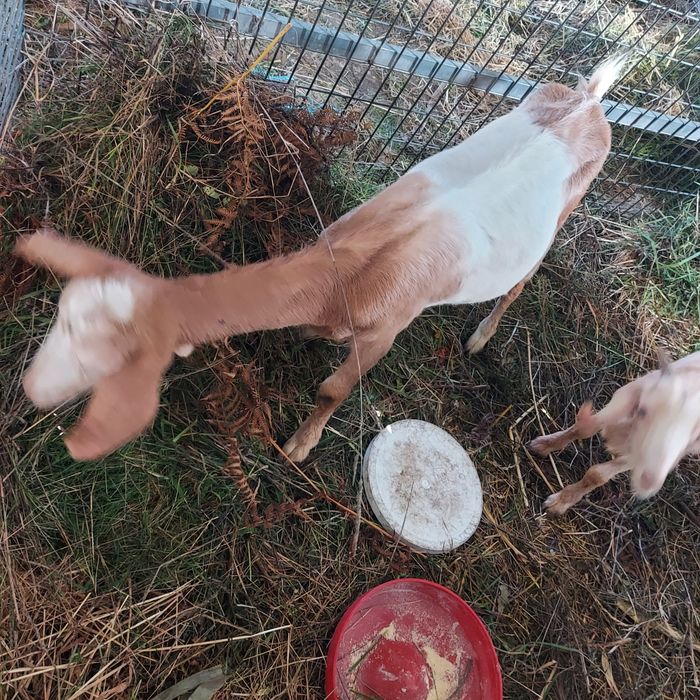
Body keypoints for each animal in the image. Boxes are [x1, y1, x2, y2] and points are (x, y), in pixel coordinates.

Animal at [16, 56, 627, 462]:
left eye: (106, 359)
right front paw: (312, 336)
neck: (352, 269)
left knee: (520, 283)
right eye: (60, 319)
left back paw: (479, 337)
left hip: (563, 215)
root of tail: (591, 100)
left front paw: (298, 447)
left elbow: (334, 388)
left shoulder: (389, 326)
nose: (31, 390)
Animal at [528, 351, 700, 514]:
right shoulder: (625, 397)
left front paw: (562, 502)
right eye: (643, 411)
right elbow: (584, 429)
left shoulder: (639, 457)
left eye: (692, 439)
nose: (648, 482)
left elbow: (597, 474)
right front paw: (544, 444)